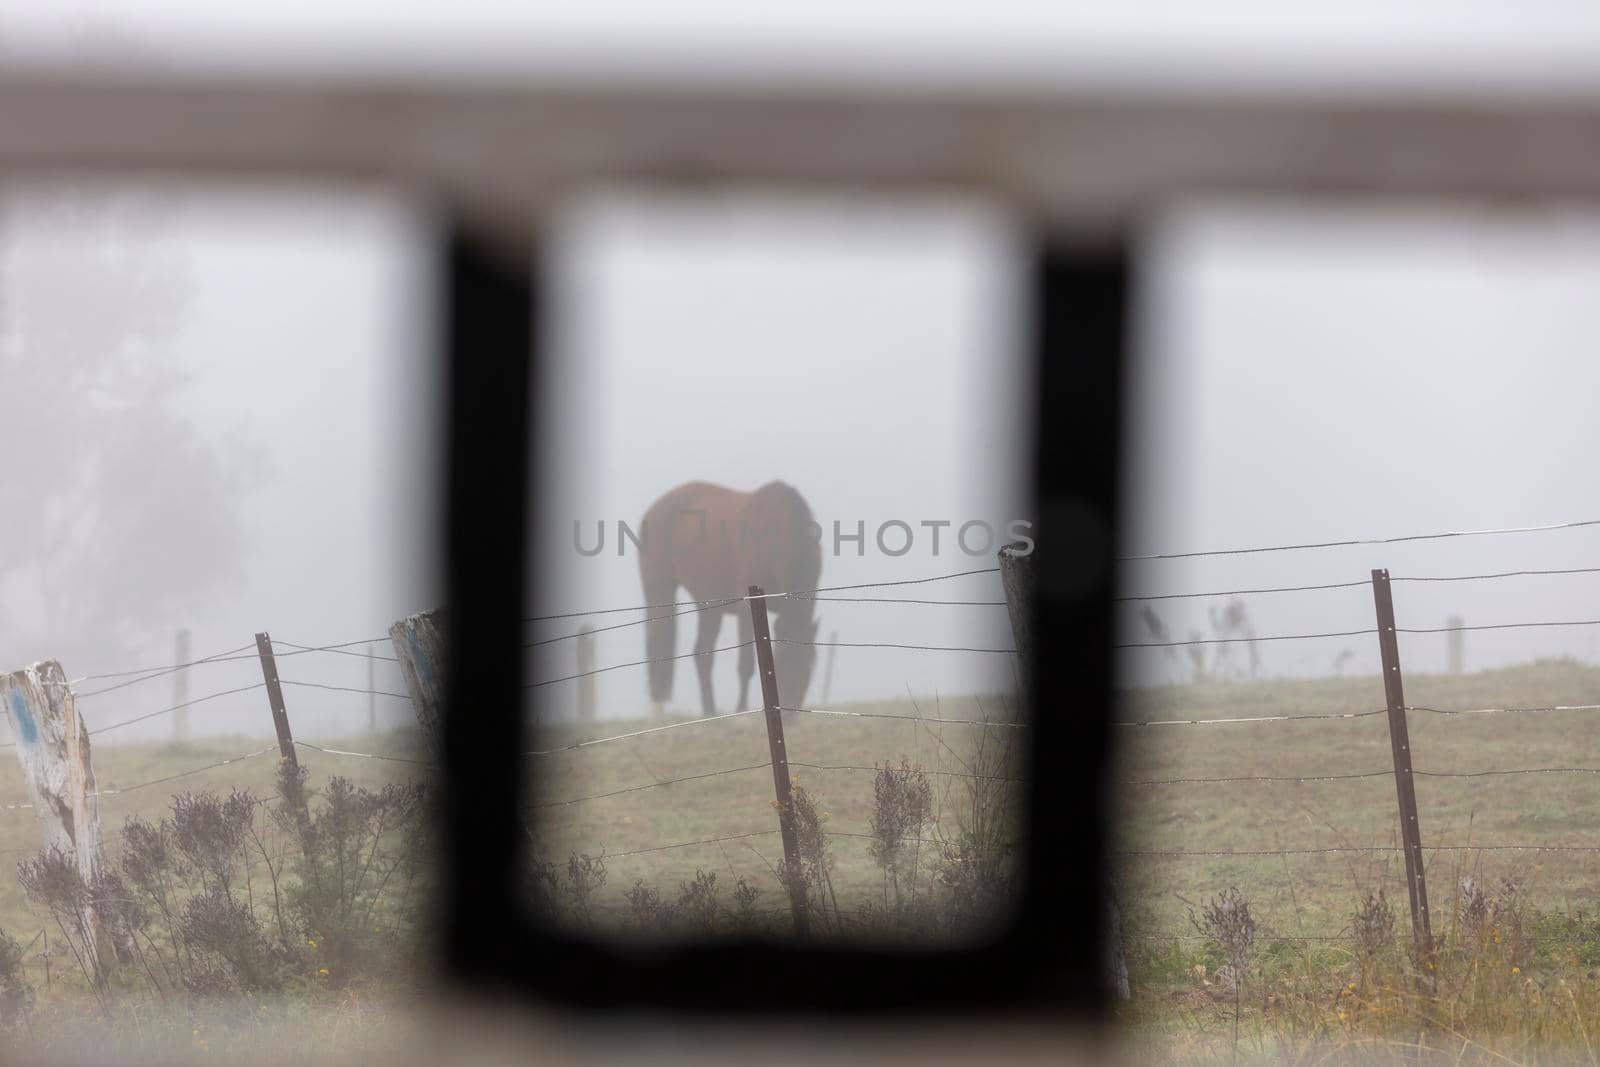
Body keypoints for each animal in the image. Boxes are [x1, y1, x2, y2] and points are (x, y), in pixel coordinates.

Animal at [640, 483, 825, 716]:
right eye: (782, 663)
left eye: (809, 668)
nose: (790, 718)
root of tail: (653, 510)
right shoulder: (747, 609)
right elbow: (746, 663)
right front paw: (741, 712)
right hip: (659, 591)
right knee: (657, 642)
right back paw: (658, 709)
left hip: (708, 607)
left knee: (702, 654)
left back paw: (710, 711)